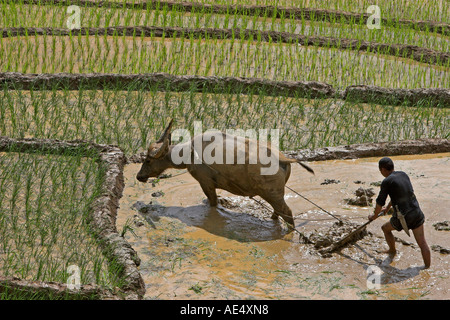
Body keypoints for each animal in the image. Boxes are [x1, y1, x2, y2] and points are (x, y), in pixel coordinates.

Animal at [135, 120, 314, 228]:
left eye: (148, 160)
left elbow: (213, 202)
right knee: (278, 212)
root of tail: (284, 158)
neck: (190, 153)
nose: (139, 176)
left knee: (287, 213)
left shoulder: (206, 183)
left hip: (272, 194)